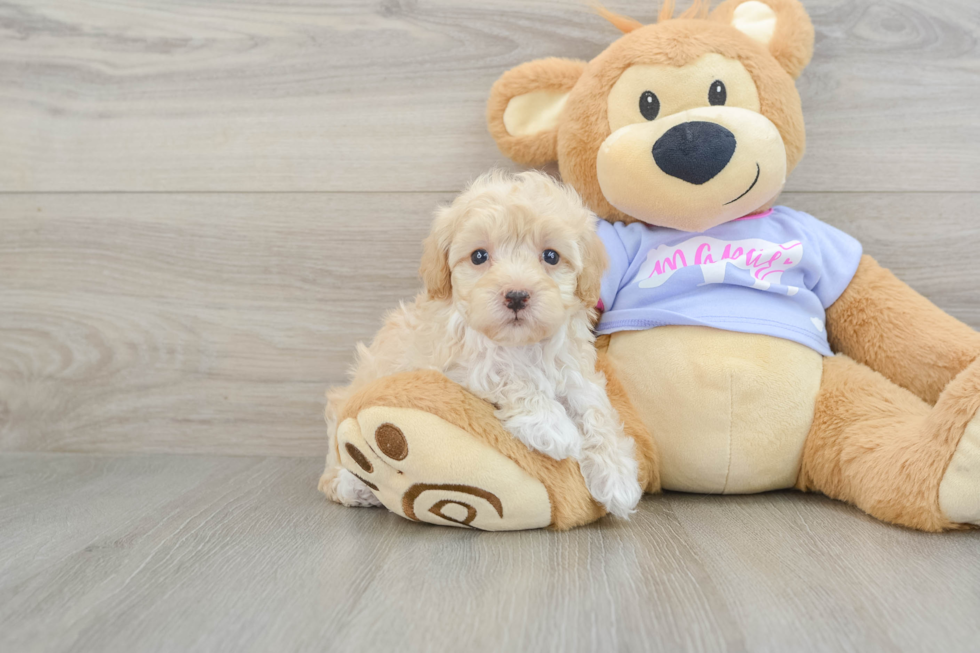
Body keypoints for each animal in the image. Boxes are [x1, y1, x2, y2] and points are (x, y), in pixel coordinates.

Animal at [322, 171, 644, 516]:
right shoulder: (457, 365)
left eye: (551, 256)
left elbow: (594, 408)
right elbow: (509, 376)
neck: (520, 344)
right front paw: (552, 426)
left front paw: (617, 476)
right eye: (479, 256)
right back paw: (354, 485)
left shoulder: (574, 370)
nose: (516, 296)